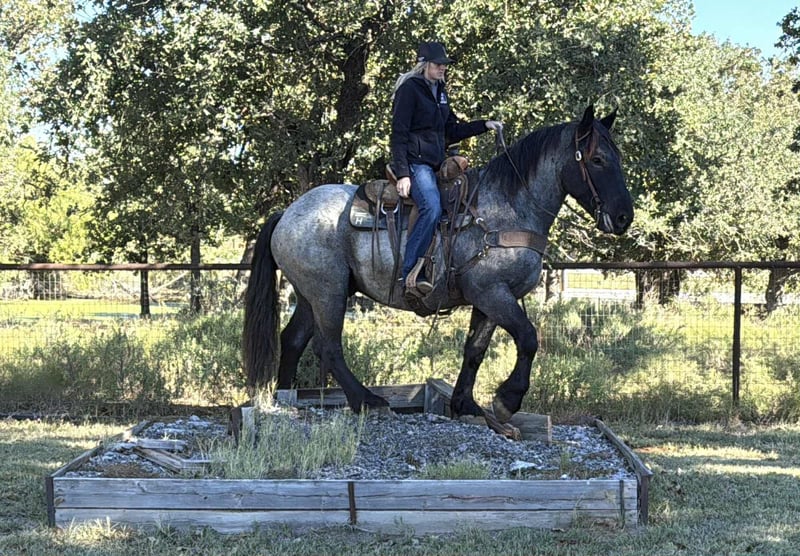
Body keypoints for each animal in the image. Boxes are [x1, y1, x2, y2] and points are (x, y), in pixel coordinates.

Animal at [243, 105, 633, 429]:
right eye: (598, 159)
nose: (624, 217)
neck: (506, 208)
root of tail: (287, 213)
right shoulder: (491, 293)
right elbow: (528, 337)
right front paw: (507, 400)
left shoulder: (488, 301)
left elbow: (475, 350)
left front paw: (466, 405)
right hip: (329, 293)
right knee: (329, 348)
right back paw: (368, 401)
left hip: (311, 294)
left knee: (293, 340)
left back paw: (286, 399)